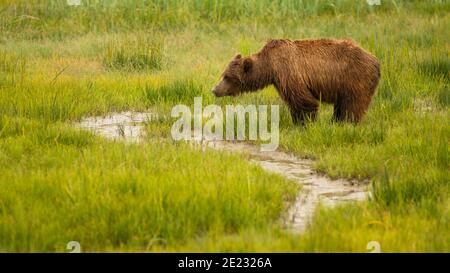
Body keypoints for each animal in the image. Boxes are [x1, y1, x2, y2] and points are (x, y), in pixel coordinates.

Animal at [213, 38, 382, 123]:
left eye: (227, 77)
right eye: (223, 74)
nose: (214, 89)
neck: (269, 66)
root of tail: (376, 61)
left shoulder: (288, 71)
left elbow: (303, 100)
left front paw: (305, 123)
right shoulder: (281, 79)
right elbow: (294, 101)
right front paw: (298, 121)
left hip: (355, 79)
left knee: (352, 105)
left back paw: (346, 123)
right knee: (342, 105)